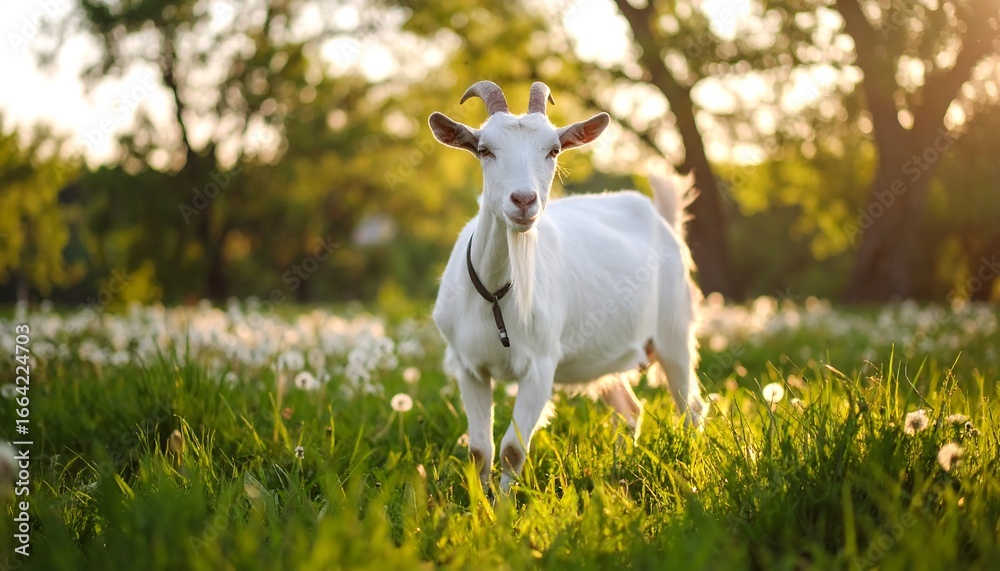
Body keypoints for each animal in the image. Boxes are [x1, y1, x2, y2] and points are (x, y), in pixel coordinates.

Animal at [429, 81, 706, 491]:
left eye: (553, 149)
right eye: (484, 149)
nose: (524, 200)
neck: (495, 294)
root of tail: (662, 219)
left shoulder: (540, 366)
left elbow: (512, 450)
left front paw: (505, 508)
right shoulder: (469, 367)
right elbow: (480, 451)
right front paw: (480, 506)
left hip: (675, 332)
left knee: (690, 407)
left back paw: (692, 472)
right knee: (630, 410)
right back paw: (618, 472)